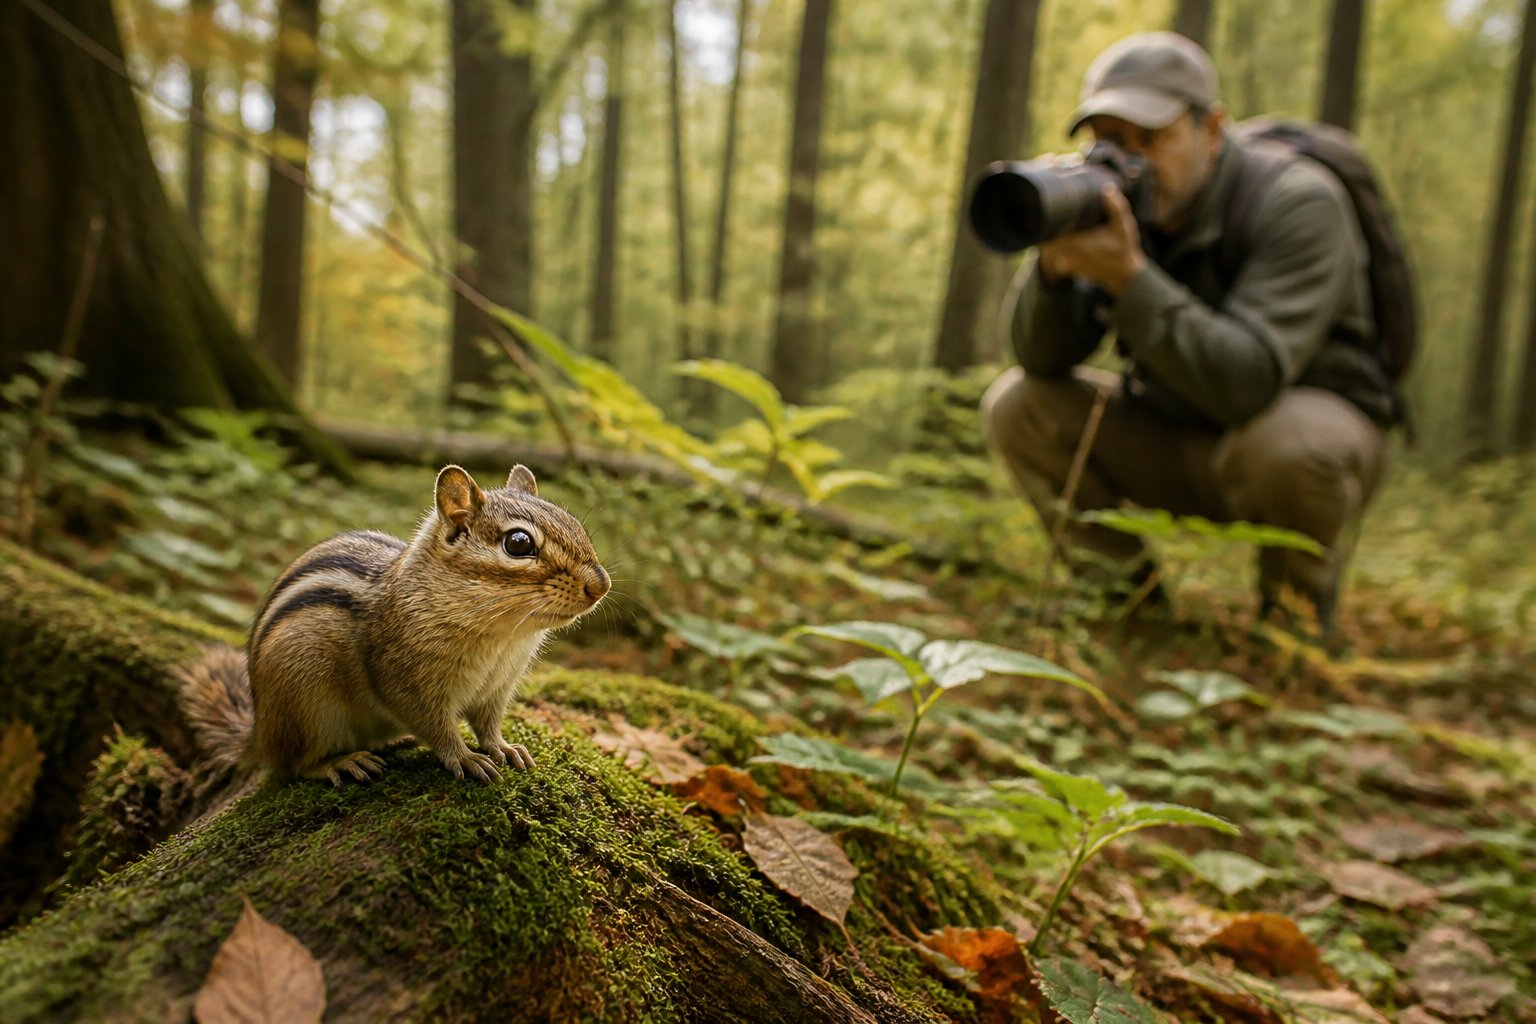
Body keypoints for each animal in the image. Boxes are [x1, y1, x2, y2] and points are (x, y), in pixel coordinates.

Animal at [176, 464, 610, 786]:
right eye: (518, 543)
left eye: (575, 524)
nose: (601, 585)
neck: (503, 637)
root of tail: (259, 732)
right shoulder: (405, 681)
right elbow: (436, 727)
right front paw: (465, 757)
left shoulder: (498, 686)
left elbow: (488, 724)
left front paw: (502, 747)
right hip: (304, 704)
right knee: (293, 765)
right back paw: (339, 763)